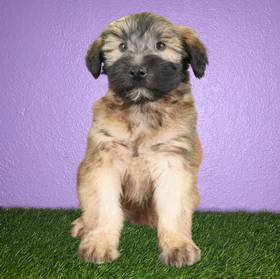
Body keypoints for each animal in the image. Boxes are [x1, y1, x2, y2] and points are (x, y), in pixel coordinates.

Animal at [71, 12, 208, 270]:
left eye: (161, 45)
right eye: (122, 46)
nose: (136, 70)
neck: (142, 110)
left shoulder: (172, 161)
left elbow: (174, 209)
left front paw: (177, 245)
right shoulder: (104, 160)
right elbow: (103, 208)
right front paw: (99, 242)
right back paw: (84, 225)